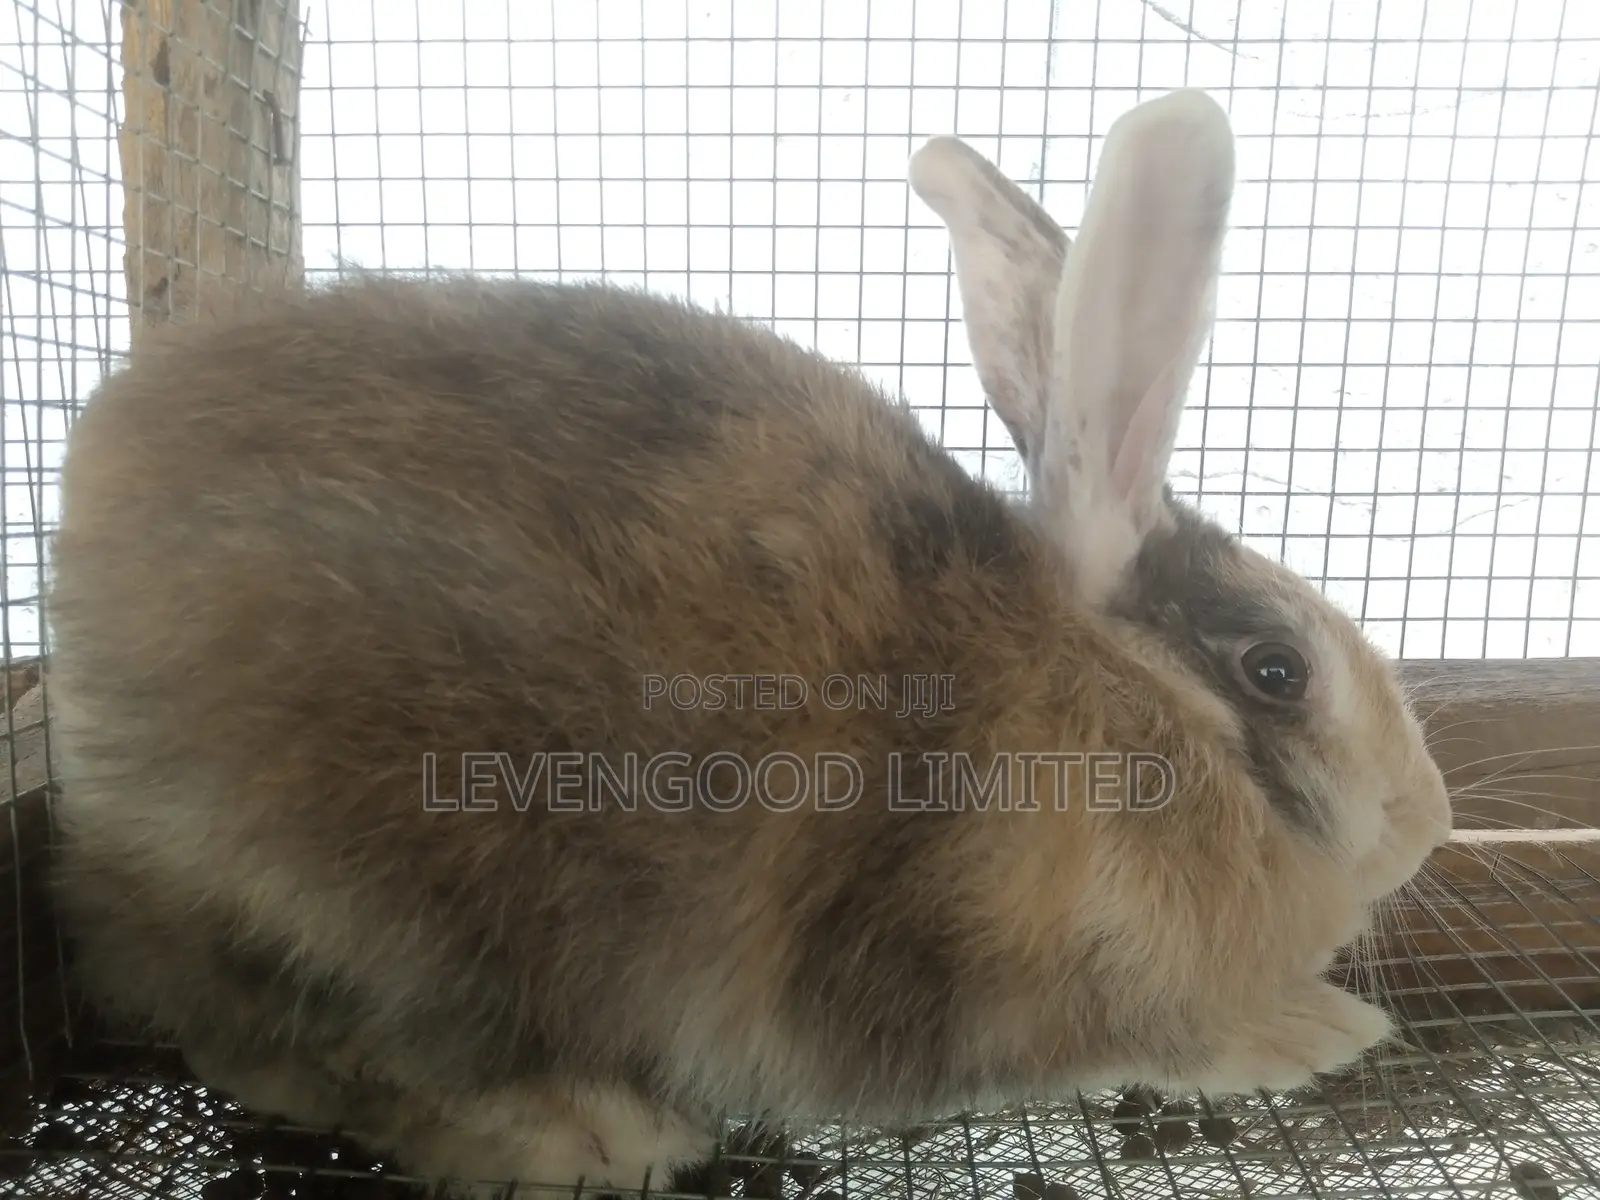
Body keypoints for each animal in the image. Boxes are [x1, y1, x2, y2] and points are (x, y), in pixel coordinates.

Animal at [45, 87, 1451, 1199]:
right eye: (1275, 671)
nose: (1427, 823)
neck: (1113, 710)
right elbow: (1114, 1044)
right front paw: (1311, 1029)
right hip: (390, 890)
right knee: (284, 1044)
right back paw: (585, 1133)